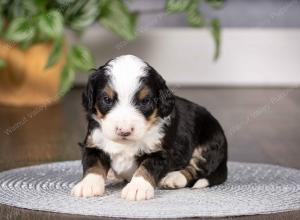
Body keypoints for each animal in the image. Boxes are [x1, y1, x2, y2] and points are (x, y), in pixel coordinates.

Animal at [71, 54, 227, 201]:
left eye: (145, 101)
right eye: (107, 99)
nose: (124, 131)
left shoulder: (160, 152)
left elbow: (146, 167)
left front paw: (137, 188)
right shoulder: (94, 143)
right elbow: (93, 165)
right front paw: (88, 185)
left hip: (208, 143)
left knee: (196, 169)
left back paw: (173, 178)